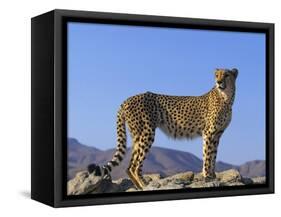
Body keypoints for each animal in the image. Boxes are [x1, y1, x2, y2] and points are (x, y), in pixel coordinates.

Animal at [88, 68, 237, 190]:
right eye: (217, 75)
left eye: (226, 75)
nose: (218, 82)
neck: (226, 97)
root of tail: (128, 99)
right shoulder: (208, 133)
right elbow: (207, 155)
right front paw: (207, 176)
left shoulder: (217, 134)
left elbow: (213, 155)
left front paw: (213, 175)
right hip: (147, 133)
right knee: (136, 165)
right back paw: (145, 185)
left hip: (137, 136)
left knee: (130, 165)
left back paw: (139, 186)